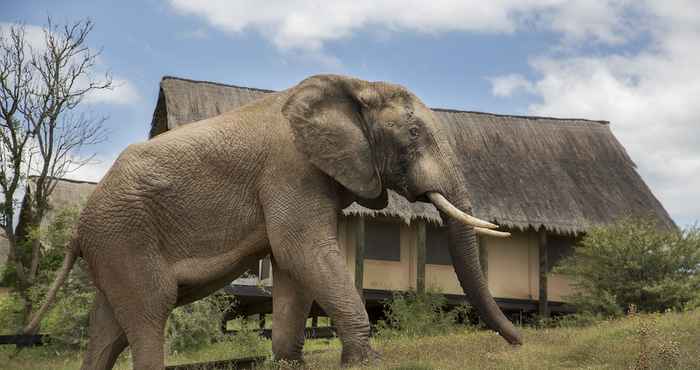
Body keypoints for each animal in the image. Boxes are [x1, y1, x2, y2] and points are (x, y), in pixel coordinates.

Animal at [26, 73, 520, 368]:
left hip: (112, 244)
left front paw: (288, 363)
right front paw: (368, 362)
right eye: (414, 134)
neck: (357, 85)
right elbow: (301, 250)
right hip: (124, 234)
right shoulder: (291, 170)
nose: (518, 344)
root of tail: (77, 227)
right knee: (149, 310)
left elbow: (293, 267)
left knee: (109, 326)